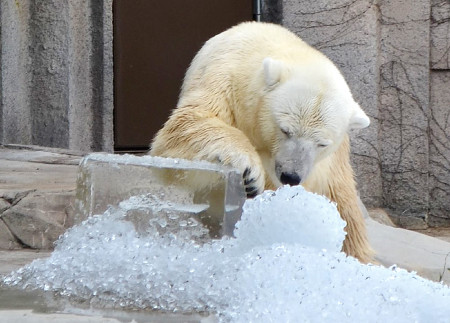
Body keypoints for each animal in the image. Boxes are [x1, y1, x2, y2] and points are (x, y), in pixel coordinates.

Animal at [149, 21, 374, 264]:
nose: (290, 176)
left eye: (322, 144)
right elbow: (183, 128)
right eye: (285, 130)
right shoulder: (222, 79)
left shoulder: (330, 163)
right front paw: (250, 174)